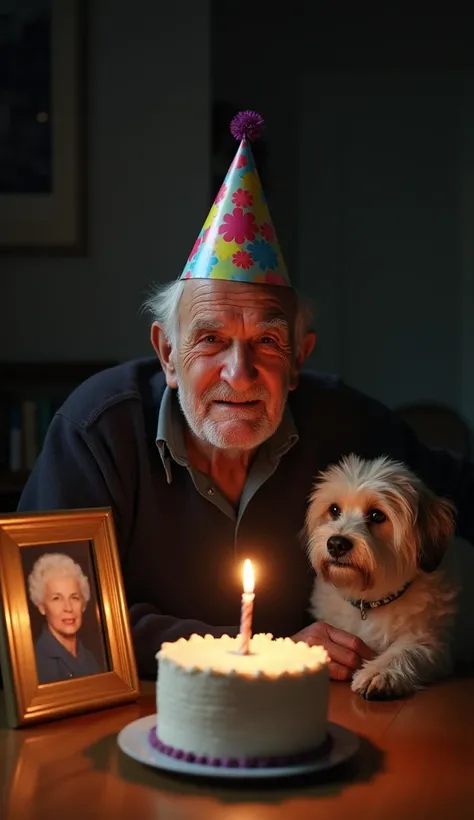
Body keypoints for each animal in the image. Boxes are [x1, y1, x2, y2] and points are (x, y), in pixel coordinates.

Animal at [306, 454, 458, 700]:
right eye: (334, 509)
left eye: (377, 515)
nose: (336, 543)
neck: (369, 601)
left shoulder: (432, 642)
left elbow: (407, 650)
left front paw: (380, 672)